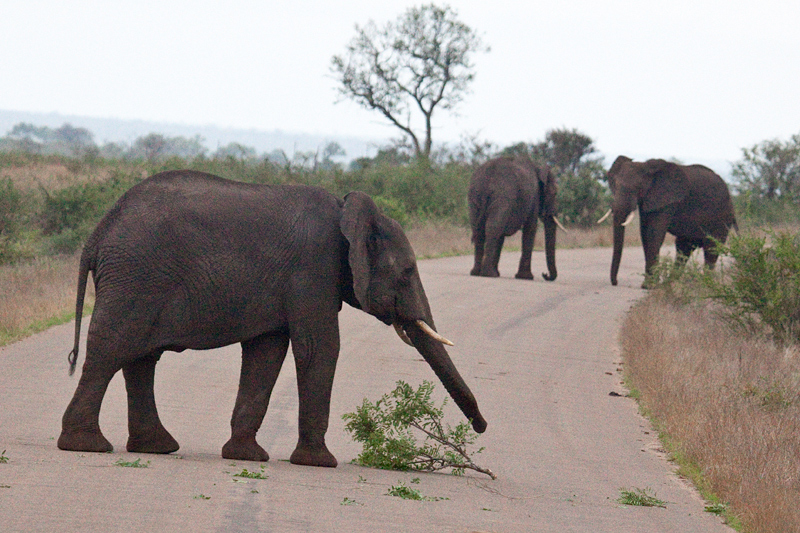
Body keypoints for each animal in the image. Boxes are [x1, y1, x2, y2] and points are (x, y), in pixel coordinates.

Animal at [57, 169, 488, 466]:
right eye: (408, 272)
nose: (481, 428)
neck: (347, 211)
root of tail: (97, 233)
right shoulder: (313, 268)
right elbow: (319, 348)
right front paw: (320, 464)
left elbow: (266, 353)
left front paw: (246, 456)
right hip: (136, 275)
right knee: (112, 349)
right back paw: (86, 446)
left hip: (140, 278)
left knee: (140, 357)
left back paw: (156, 448)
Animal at [600, 154, 736, 286]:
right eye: (614, 185)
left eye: (638, 187)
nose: (615, 282)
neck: (646, 166)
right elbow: (644, 234)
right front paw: (650, 284)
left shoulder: (668, 201)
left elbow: (654, 233)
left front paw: (648, 286)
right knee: (683, 247)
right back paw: (670, 282)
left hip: (722, 216)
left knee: (711, 247)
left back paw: (705, 283)